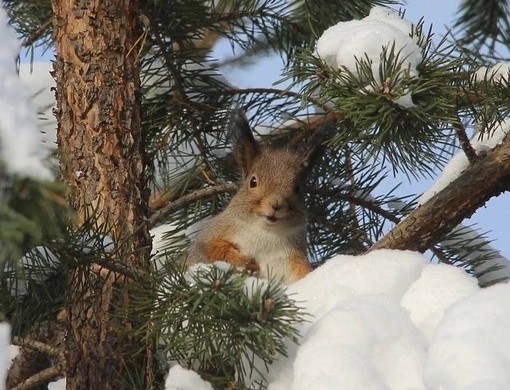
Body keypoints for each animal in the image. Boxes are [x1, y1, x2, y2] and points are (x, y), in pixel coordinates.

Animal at [187, 109, 330, 284]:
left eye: (298, 188)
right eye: (253, 182)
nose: (276, 204)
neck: (264, 232)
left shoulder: (291, 256)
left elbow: (300, 271)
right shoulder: (211, 235)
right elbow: (213, 249)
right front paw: (242, 261)